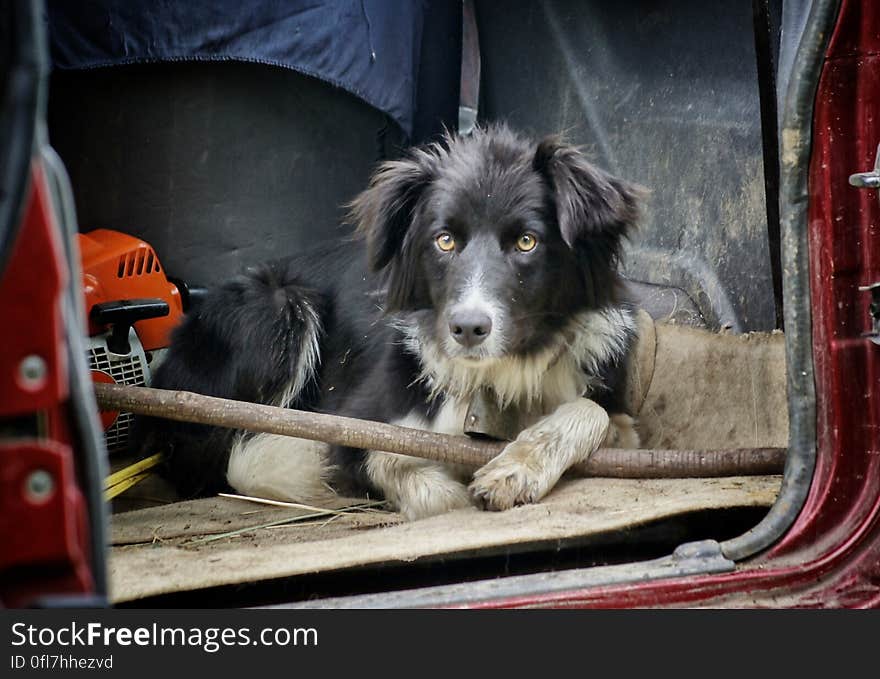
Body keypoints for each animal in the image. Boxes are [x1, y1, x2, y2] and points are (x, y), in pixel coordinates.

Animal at [134, 123, 644, 520]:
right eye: (444, 240)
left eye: (526, 242)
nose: (467, 329)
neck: (495, 375)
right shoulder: (356, 422)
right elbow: (414, 477)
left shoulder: (617, 411)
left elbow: (593, 411)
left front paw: (514, 468)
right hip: (278, 308)